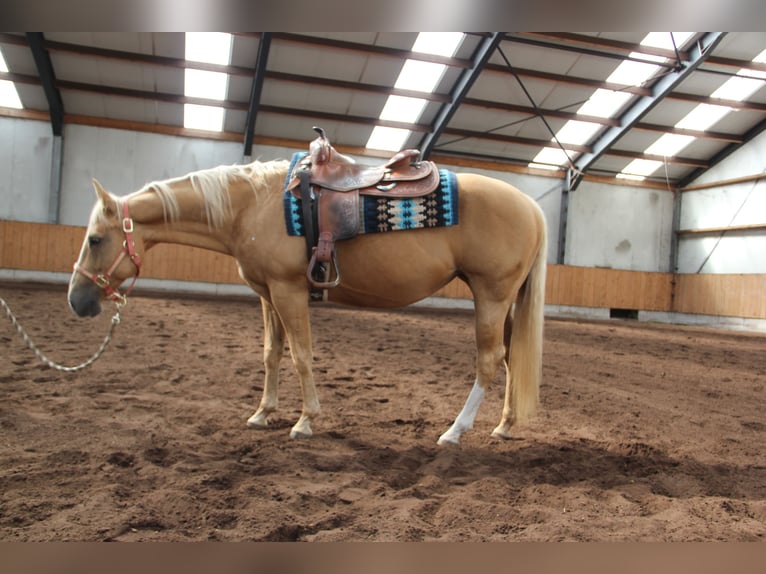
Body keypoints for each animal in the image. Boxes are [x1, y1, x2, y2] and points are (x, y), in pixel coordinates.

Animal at [67, 156, 547, 445]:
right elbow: (271, 354)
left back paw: (454, 431)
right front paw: (263, 413)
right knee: (510, 359)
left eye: (95, 240)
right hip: (504, 302)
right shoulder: (267, 295)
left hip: (491, 296)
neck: (252, 206)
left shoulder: (289, 290)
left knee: (489, 361)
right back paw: (504, 426)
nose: (77, 301)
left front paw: (305, 420)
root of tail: (530, 205)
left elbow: (300, 355)